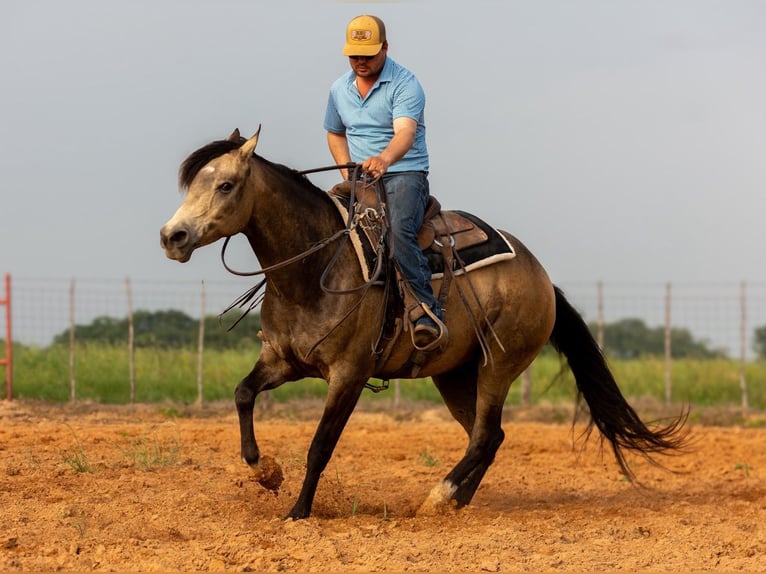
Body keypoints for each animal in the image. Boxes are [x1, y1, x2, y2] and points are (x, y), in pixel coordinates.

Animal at [160, 128, 687, 520]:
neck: (315, 267)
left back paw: (438, 497)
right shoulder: (282, 361)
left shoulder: (348, 375)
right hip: (453, 374)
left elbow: (320, 445)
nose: (172, 236)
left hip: (498, 365)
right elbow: (243, 394)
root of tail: (541, 276)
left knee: (484, 435)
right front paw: (264, 471)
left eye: (226, 185)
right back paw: (458, 502)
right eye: (194, 183)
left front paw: (298, 512)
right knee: (488, 436)